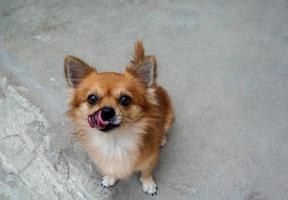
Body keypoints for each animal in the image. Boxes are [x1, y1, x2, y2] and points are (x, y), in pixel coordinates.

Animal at [64, 41, 173, 195]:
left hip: (169, 118)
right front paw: (110, 177)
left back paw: (162, 139)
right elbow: (111, 169)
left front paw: (148, 184)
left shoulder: (151, 159)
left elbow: (146, 172)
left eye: (125, 99)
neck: (114, 142)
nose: (107, 111)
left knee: (164, 129)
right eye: (92, 99)